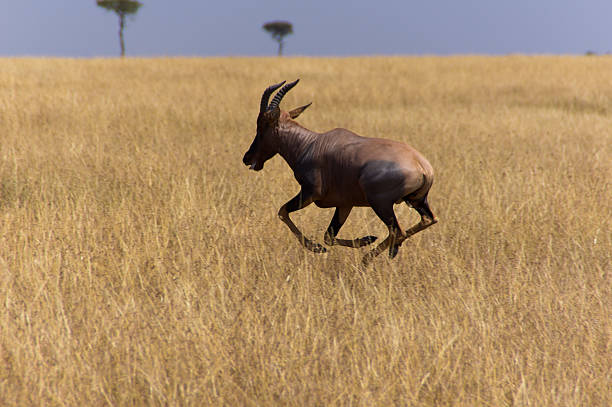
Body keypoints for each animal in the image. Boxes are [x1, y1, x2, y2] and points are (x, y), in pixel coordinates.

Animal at [241, 80, 438, 268]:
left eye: (262, 125)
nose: (247, 158)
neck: (310, 144)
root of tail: (423, 167)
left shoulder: (310, 194)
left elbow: (282, 211)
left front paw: (317, 248)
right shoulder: (345, 204)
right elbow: (329, 236)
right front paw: (365, 239)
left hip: (381, 204)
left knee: (398, 231)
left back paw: (370, 258)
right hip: (417, 201)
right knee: (427, 220)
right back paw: (390, 250)